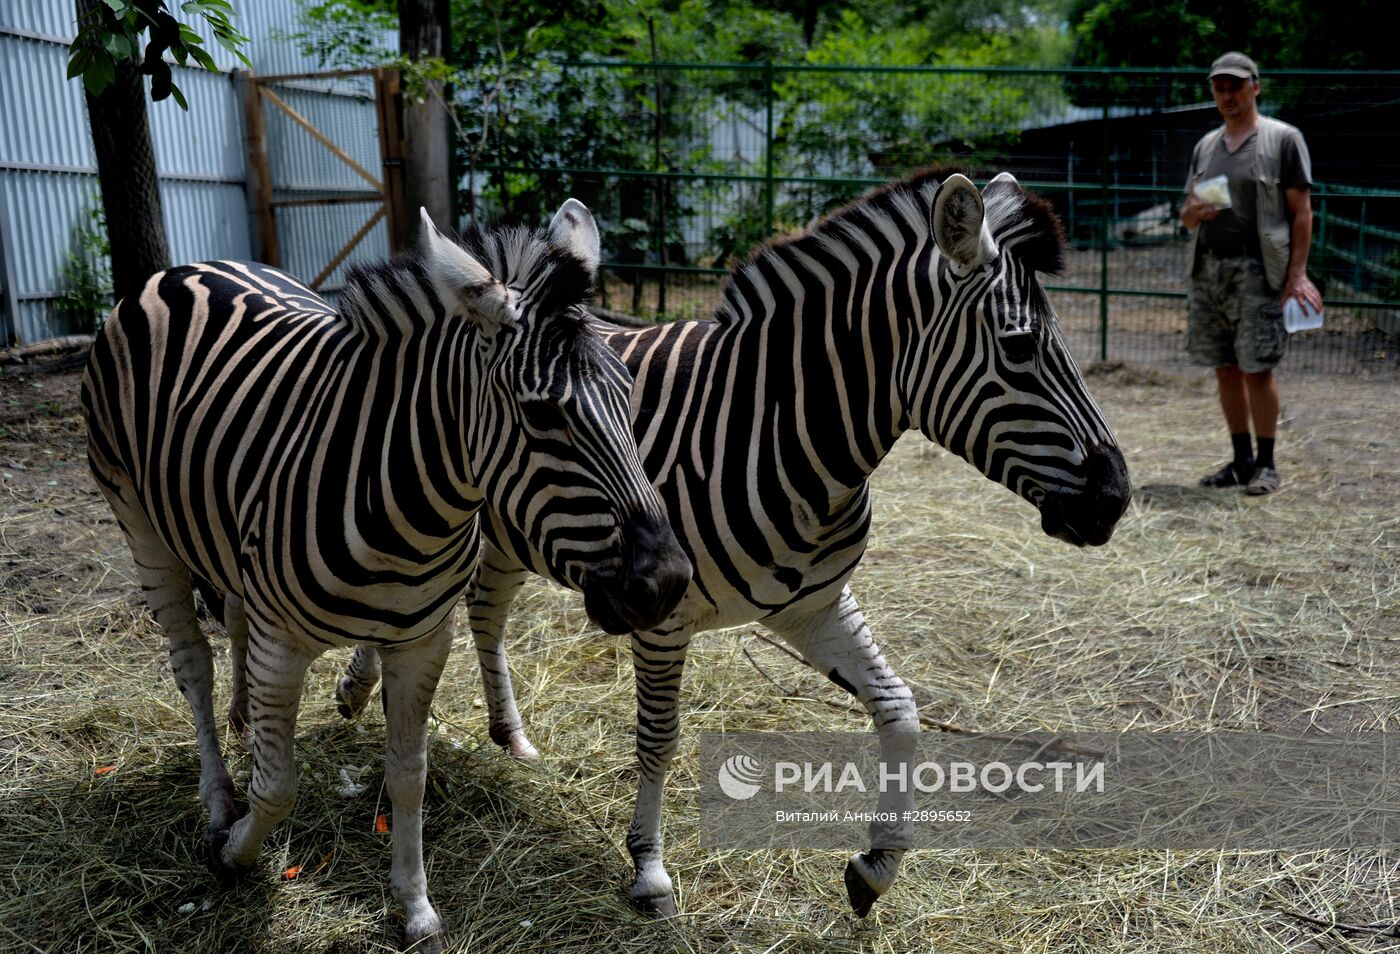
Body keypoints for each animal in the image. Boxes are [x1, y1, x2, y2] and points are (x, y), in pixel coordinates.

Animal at [79, 197, 691, 946]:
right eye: (543, 414)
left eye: (630, 394)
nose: (669, 583)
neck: (409, 508)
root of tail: (187, 266)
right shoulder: (283, 646)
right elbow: (276, 789)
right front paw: (235, 853)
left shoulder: (423, 642)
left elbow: (408, 775)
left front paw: (416, 907)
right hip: (140, 524)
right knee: (192, 664)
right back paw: (219, 796)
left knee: (232, 621)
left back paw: (244, 721)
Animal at [341, 169, 1136, 913]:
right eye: (1020, 347)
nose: (1117, 498)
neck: (783, 433)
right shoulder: (663, 617)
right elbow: (659, 737)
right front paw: (649, 869)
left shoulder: (813, 606)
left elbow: (901, 712)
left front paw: (876, 866)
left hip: (502, 533)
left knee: (479, 608)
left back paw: (481, 726)